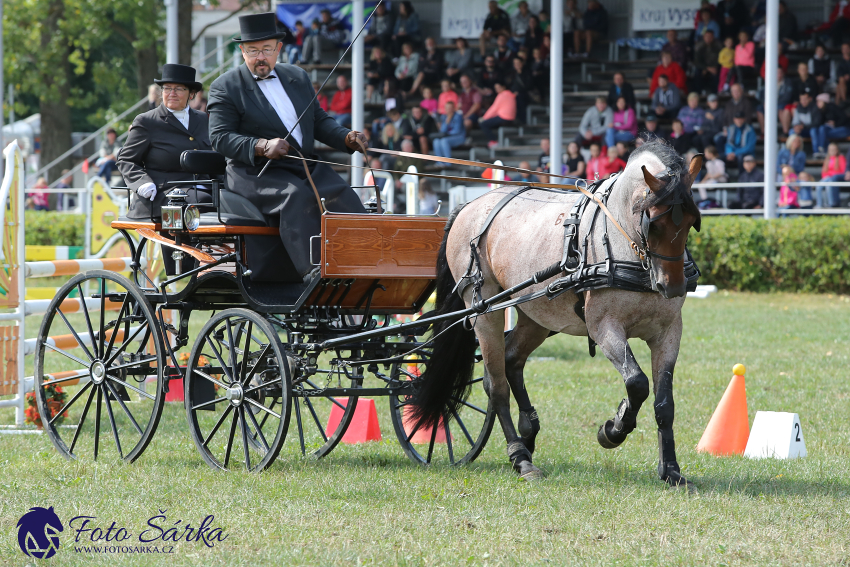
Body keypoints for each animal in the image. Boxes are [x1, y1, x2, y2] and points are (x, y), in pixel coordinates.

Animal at [410, 141, 704, 488]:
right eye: (653, 221)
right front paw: (613, 429)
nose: (671, 287)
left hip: (535, 313)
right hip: (484, 311)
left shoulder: (668, 333)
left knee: (512, 359)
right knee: (496, 385)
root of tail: (469, 206)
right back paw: (521, 458)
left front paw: (671, 470)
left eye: (692, 221)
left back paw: (528, 434)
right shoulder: (604, 328)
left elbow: (664, 403)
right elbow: (636, 383)